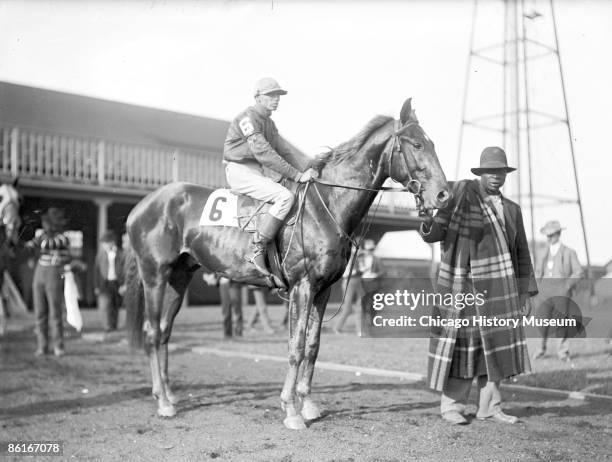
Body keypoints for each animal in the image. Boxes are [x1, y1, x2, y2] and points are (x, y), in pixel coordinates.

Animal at [124, 98, 450, 430]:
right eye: (416, 144)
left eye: (433, 143)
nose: (443, 194)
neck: (325, 203)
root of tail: (144, 205)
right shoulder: (302, 287)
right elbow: (296, 347)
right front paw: (291, 410)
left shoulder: (322, 290)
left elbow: (312, 346)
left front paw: (308, 405)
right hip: (154, 277)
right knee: (152, 333)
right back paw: (163, 402)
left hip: (179, 278)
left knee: (165, 332)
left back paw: (168, 394)